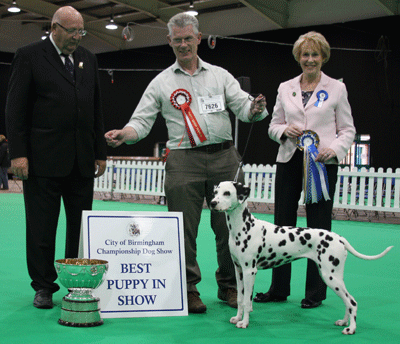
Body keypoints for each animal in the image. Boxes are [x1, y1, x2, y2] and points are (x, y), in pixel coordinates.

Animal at [211, 181, 392, 334]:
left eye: (227, 193)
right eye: (215, 192)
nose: (212, 203)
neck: (243, 227)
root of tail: (339, 238)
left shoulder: (250, 271)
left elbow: (248, 301)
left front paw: (244, 322)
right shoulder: (239, 270)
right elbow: (240, 299)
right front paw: (237, 318)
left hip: (330, 277)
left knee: (352, 303)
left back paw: (351, 328)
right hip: (335, 277)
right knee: (347, 302)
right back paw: (343, 322)